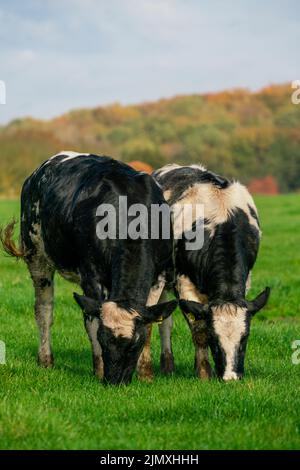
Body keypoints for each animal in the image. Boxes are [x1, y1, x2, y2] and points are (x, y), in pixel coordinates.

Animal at [1, 152, 177, 384]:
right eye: (104, 340)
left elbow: (148, 324)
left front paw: (146, 373)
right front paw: (99, 369)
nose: (115, 382)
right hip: (37, 256)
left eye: (134, 346)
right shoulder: (91, 276)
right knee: (44, 310)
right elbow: (92, 322)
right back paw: (45, 359)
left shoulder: (158, 277)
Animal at [154, 163, 270, 380]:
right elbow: (198, 330)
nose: (231, 377)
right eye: (214, 339)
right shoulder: (184, 283)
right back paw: (167, 365)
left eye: (245, 338)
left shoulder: (246, 279)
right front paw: (203, 372)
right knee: (164, 323)